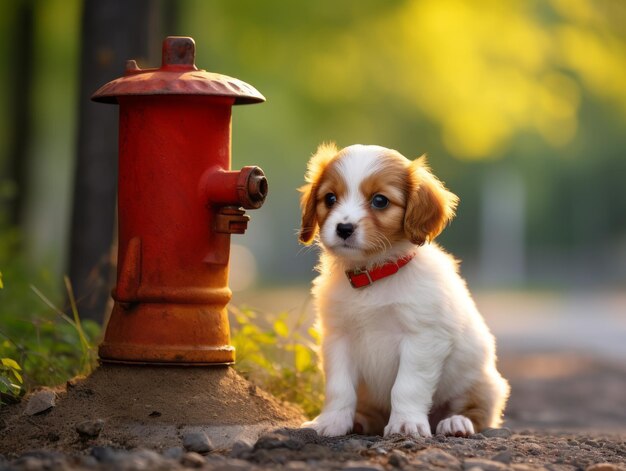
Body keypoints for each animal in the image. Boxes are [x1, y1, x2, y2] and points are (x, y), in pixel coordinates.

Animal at [298, 144, 508, 438]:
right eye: (329, 198)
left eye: (380, 201)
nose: (343, 228)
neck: (373, 273)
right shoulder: (338, 337)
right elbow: (339, 388)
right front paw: (331, 422)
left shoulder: (422, 338)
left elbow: (407, 386)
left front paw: (406, 424)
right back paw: (360, 421)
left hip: (483, 382)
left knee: (477, 411)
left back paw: (456, 423)